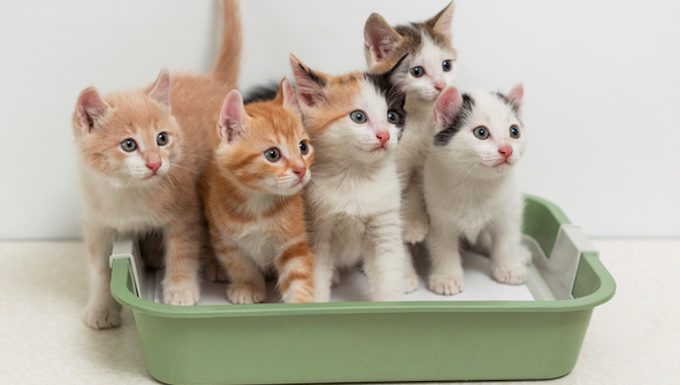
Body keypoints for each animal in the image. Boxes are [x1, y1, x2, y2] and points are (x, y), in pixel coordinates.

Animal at [71, 0, 240, 330]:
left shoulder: (184, 210)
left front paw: (180, 289)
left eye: (162, 138)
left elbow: (182, 250)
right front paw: (101, 307)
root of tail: (215, 81)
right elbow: (99, 270)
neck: (127, 193)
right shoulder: (96, 224)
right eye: (128, 145)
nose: (154, 163)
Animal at [199, 79, 316, 304]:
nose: (301, 169)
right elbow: (239, 264)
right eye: (273, 154)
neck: (258, 204)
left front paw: (301, 302)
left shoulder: (292, 240)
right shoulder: (225, 239)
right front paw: (248, 285)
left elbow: (297, 272)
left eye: (303, 147)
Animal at [288, 54, 418, 300]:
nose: (384, 135)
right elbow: (315, 276)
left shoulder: (384, 221)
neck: (356, 176)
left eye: (391, 116)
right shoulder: (316, 228)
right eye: (358, 117)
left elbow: (388, 267)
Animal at [362, 3, 456, 246]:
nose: (441, 85)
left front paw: (414, 222)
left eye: (446, 65)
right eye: (416, 71)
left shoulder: (421, 161)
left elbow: (415, 188)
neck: (416, 119)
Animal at [424, 85, 532, 294]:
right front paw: (447, 277)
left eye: (514, 131)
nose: (507, 150)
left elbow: (507, 238)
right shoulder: (438, 216)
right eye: (481, 133)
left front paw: (509, 268)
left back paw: (519, 253)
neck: (475, 183)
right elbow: (443, 245)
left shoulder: (509, 208)